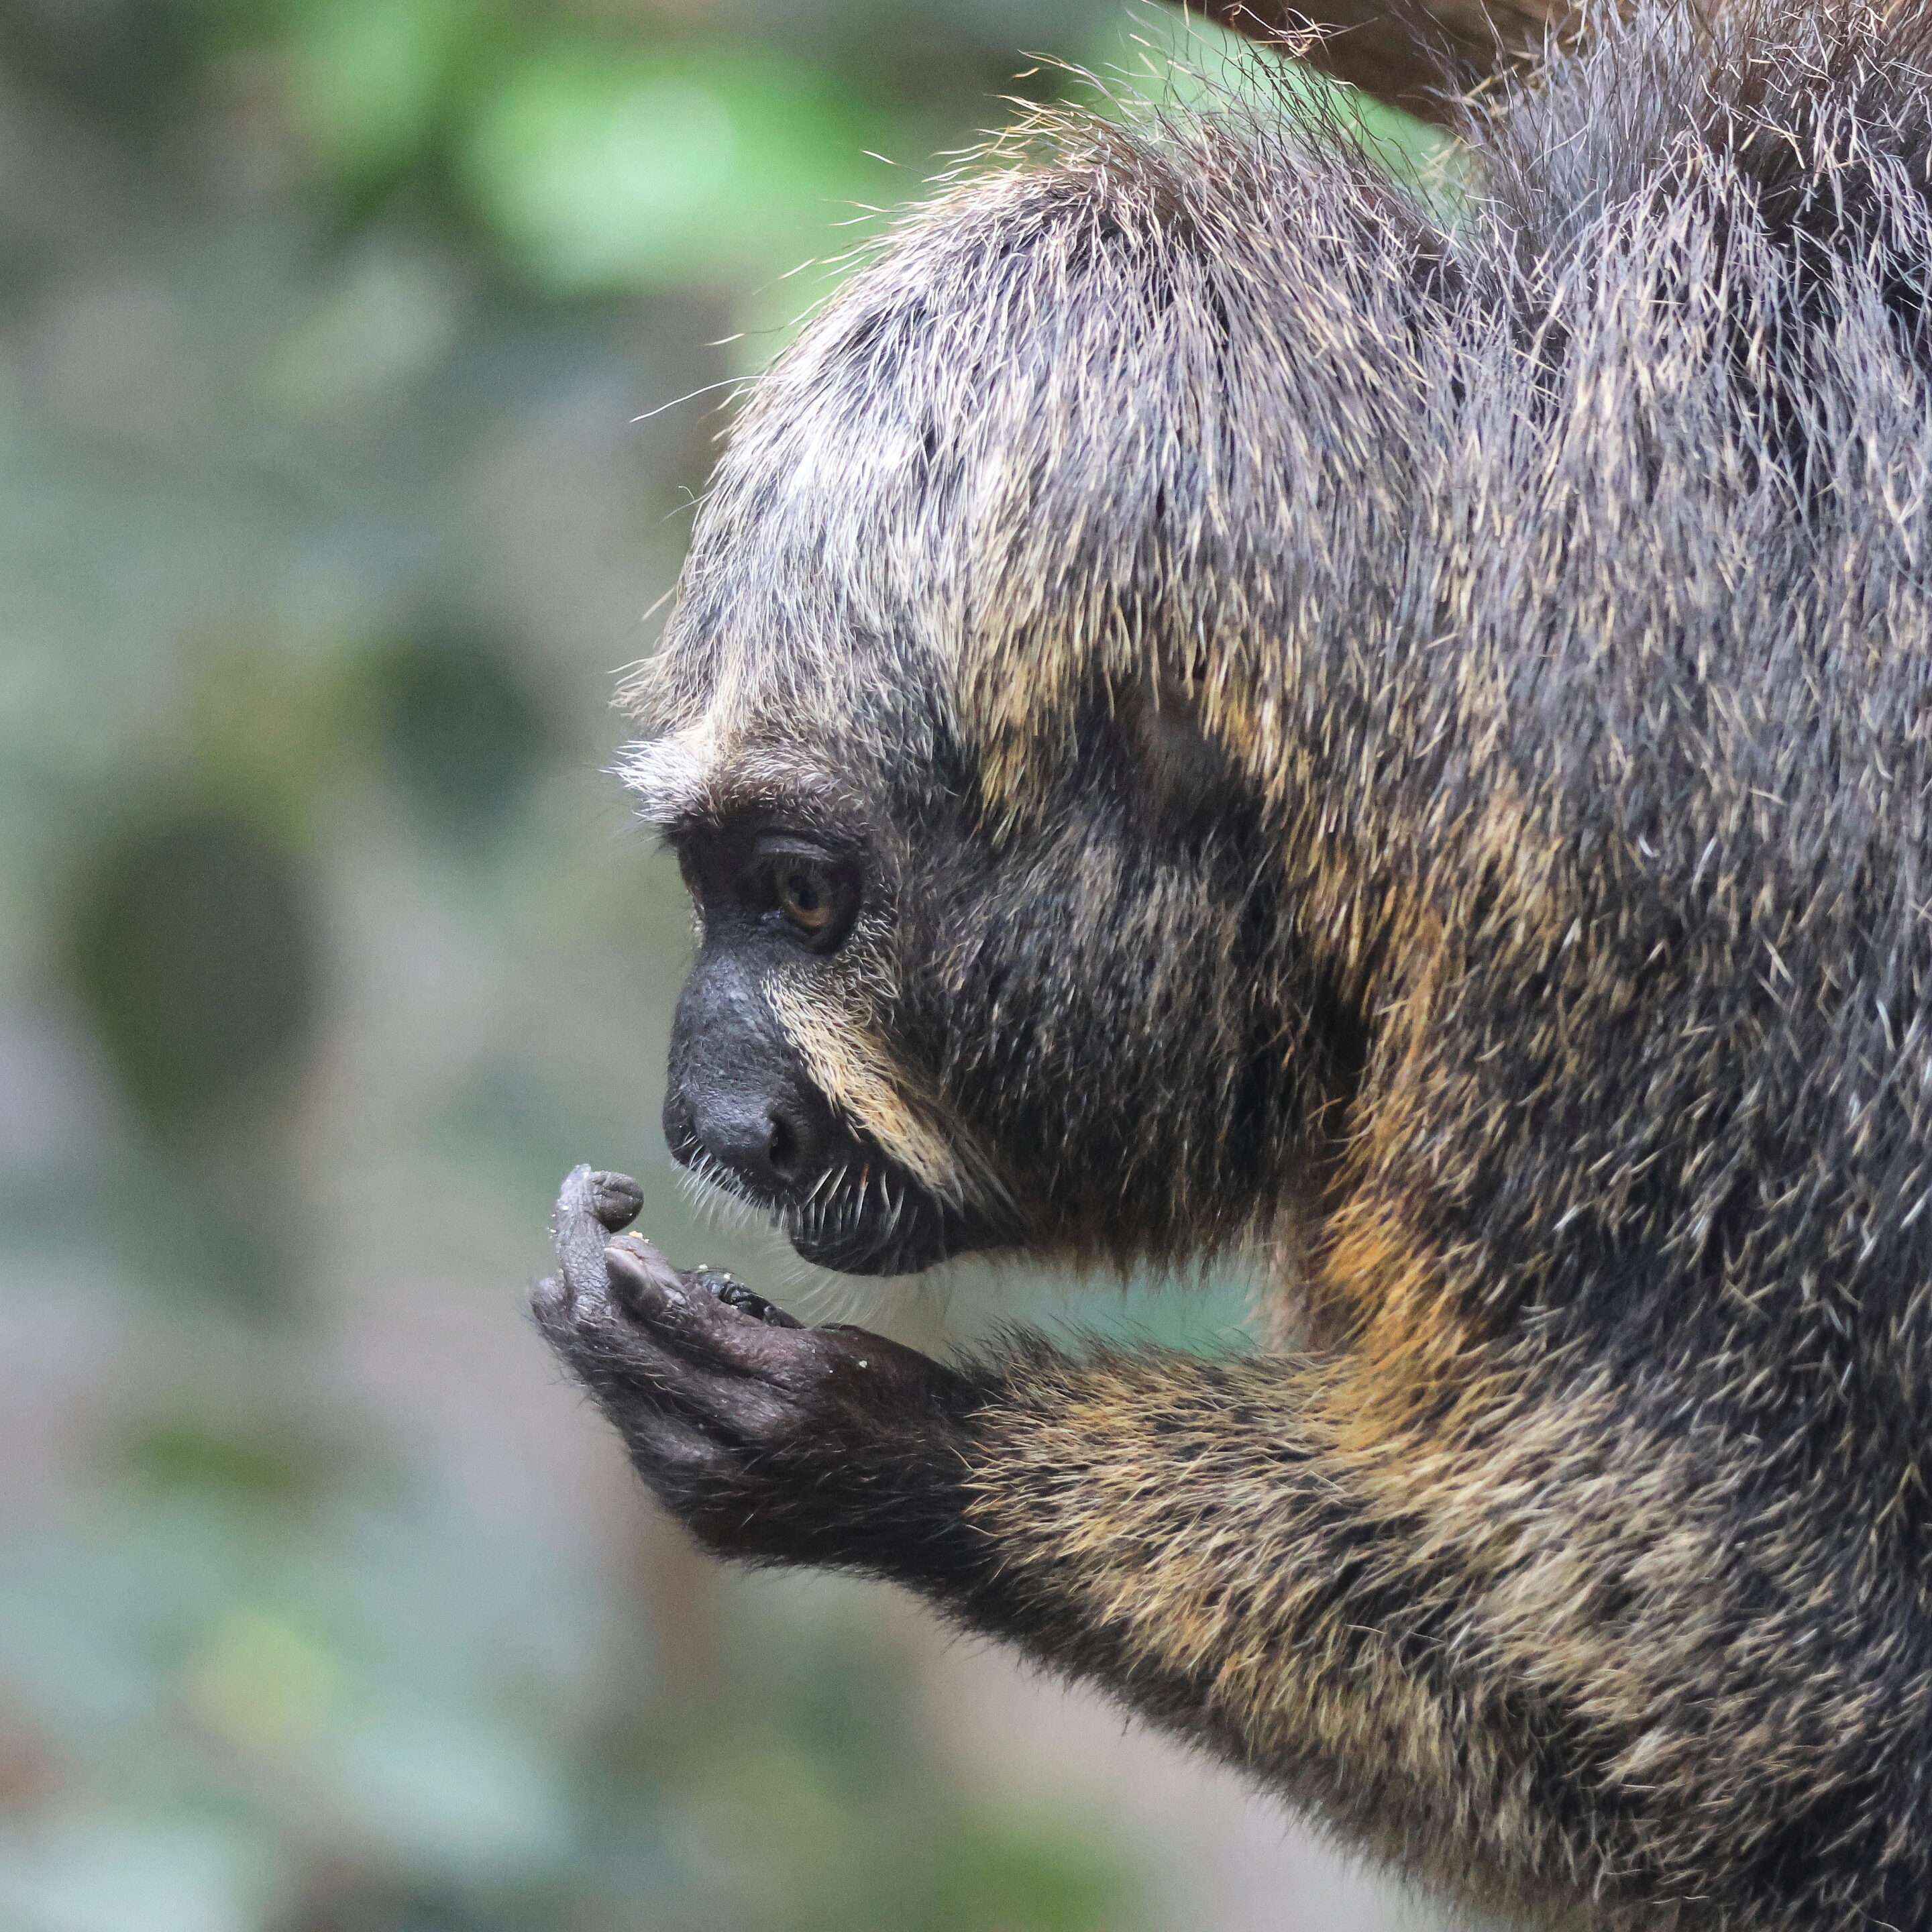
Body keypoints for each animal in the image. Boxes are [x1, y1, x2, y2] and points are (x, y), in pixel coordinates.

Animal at [532, 2, 1932, 1924]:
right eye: (714, 891)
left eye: (801, 898)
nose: (712, 1118)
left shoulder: (1686, 932)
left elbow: (1769, 1711)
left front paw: (877, 1450)